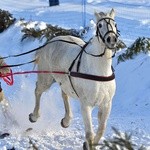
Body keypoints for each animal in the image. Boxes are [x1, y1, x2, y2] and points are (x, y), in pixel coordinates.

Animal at [29, 8, 118, 149]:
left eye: (115, 24)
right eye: (100, 25)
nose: (112, 39)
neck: (99, 70)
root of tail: (50, 42)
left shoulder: (106, 104)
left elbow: (101, 129)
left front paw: (88, 144)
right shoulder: (86, 105)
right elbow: (89, 134)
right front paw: (88, 144)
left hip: (64, 81)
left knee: (64, 95)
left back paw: (66, 120)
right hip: (46, 78)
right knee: (38, 91)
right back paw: (34, 116)